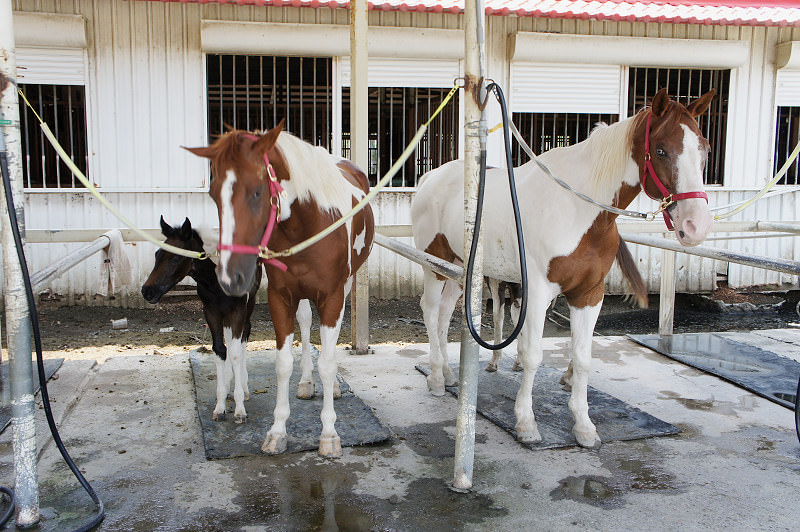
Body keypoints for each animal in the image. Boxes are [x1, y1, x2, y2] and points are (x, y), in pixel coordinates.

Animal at [140, 216, 314, 424]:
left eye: (175, 257)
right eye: (157, 254)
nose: (147, 291)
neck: (215, 280)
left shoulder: (238, 310)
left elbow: (236, 352)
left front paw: (239, 409)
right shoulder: (211, 312)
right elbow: (220, 349)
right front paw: (220, 405)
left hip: (250, 303)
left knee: (248, 333)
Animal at [185, 120, 374, 458]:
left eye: (257, 191)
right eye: (213, 194)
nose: (231, 276)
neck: (309, 224)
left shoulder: (332, 296)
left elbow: (328, 363)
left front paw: (329, 435)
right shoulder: (280, 297)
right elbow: (283, 363)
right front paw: (277, 432)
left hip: (347, 283)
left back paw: (331, 387)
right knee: (305, 324)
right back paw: (306, 383)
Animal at [412, 88, 714, 448]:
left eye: (705, 149)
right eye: (661, 150)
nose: (695, 226)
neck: (578, 211)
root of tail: (431, 177)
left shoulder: (589, 294)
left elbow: (583, 359)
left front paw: (584, 426)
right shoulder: (537, 293)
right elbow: (532, 355)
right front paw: (526, 423)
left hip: (458, 267)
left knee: (444, 314)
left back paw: (445, 372)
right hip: (433, 265)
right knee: (431, 311)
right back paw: (434, 378)